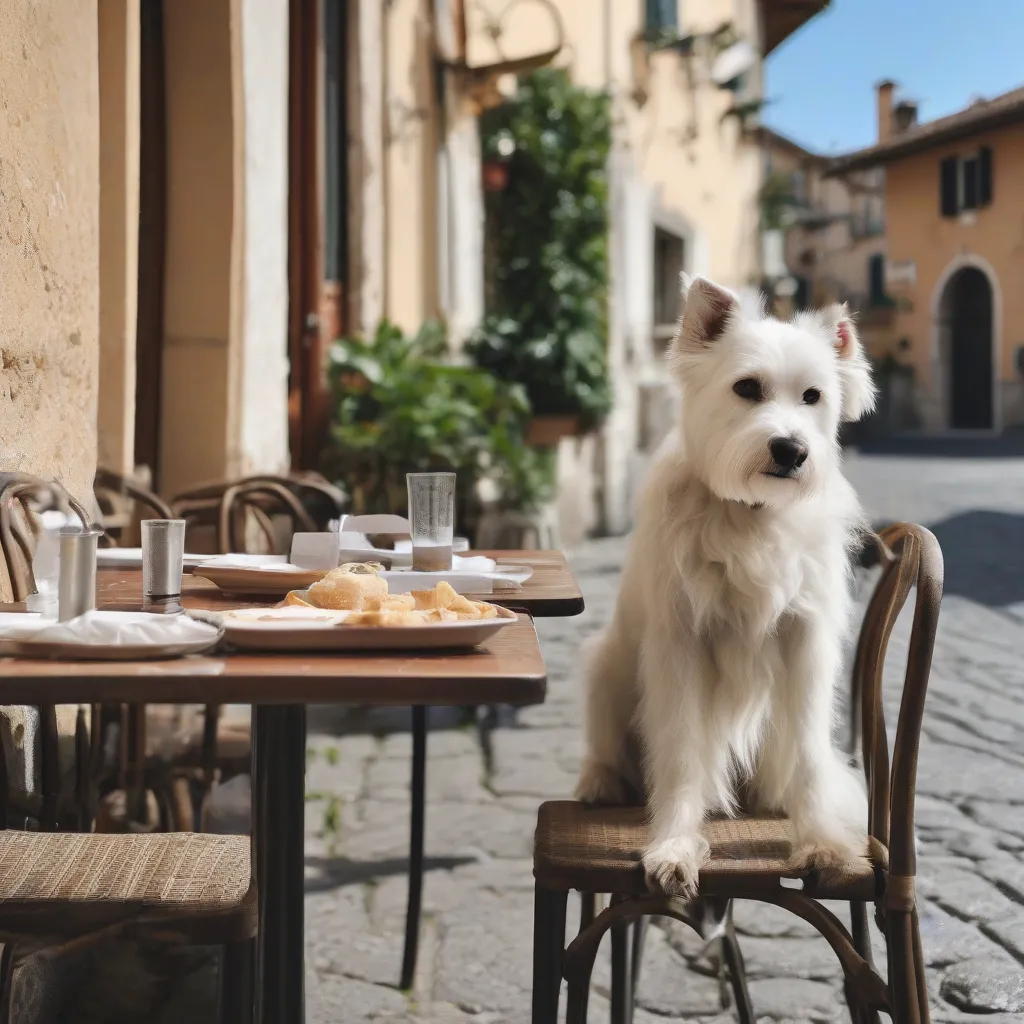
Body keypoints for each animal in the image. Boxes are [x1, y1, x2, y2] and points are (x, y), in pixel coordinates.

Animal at [581, 272, 876, 897]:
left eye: (813, 396)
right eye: (747, 387)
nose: (791, 450)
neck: (751, 514)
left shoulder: (805, 644)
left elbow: (809, 751)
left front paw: (822, 844)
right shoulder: (681, 646)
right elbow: (681, 755)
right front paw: (674, 847)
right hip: (605, 669)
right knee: (607, 748)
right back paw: (599, 782)